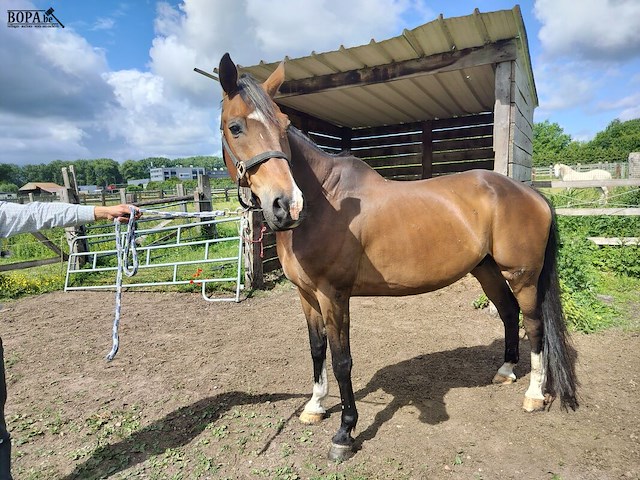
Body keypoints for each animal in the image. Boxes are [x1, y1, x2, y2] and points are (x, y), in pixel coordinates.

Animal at [217, 53, 578, 461]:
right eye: (235, 127)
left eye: (284, 125)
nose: (287, 205)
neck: (326, 203)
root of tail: (530, 193)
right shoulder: (306, 295)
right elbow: (316, 349)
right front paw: (314, 406)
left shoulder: (333, 295)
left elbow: (342, 360)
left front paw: (345, 432)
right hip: (486, 270)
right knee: (508, 312)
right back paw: (505, 372)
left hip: (523, 275)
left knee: (534, 324)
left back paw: (533, 395)